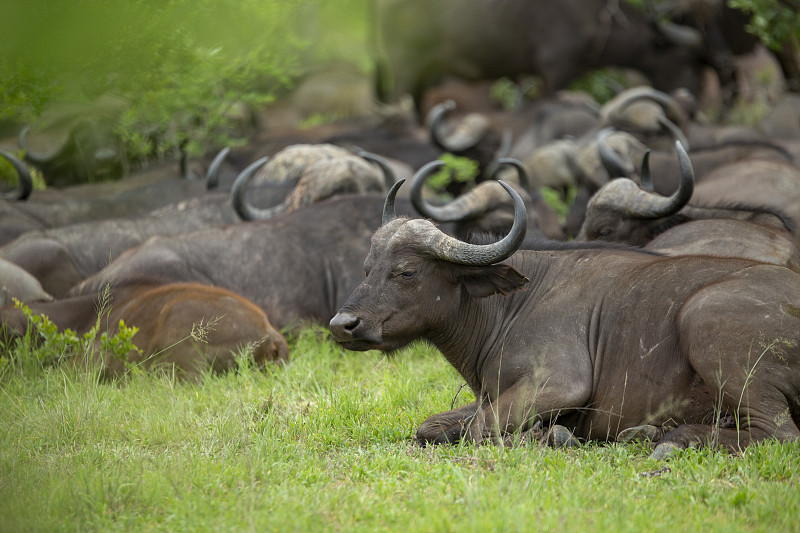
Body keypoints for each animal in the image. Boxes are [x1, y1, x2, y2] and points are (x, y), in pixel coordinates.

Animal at [328, 179, 800, 458]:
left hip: (705, 323)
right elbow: (431, 426)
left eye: (406, 272)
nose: (342, 326)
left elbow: (480, 429)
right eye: (367, 267)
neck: (510, 305)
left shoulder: (560, 383)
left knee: (778, 434)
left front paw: (552, 435)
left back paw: (674, 440)